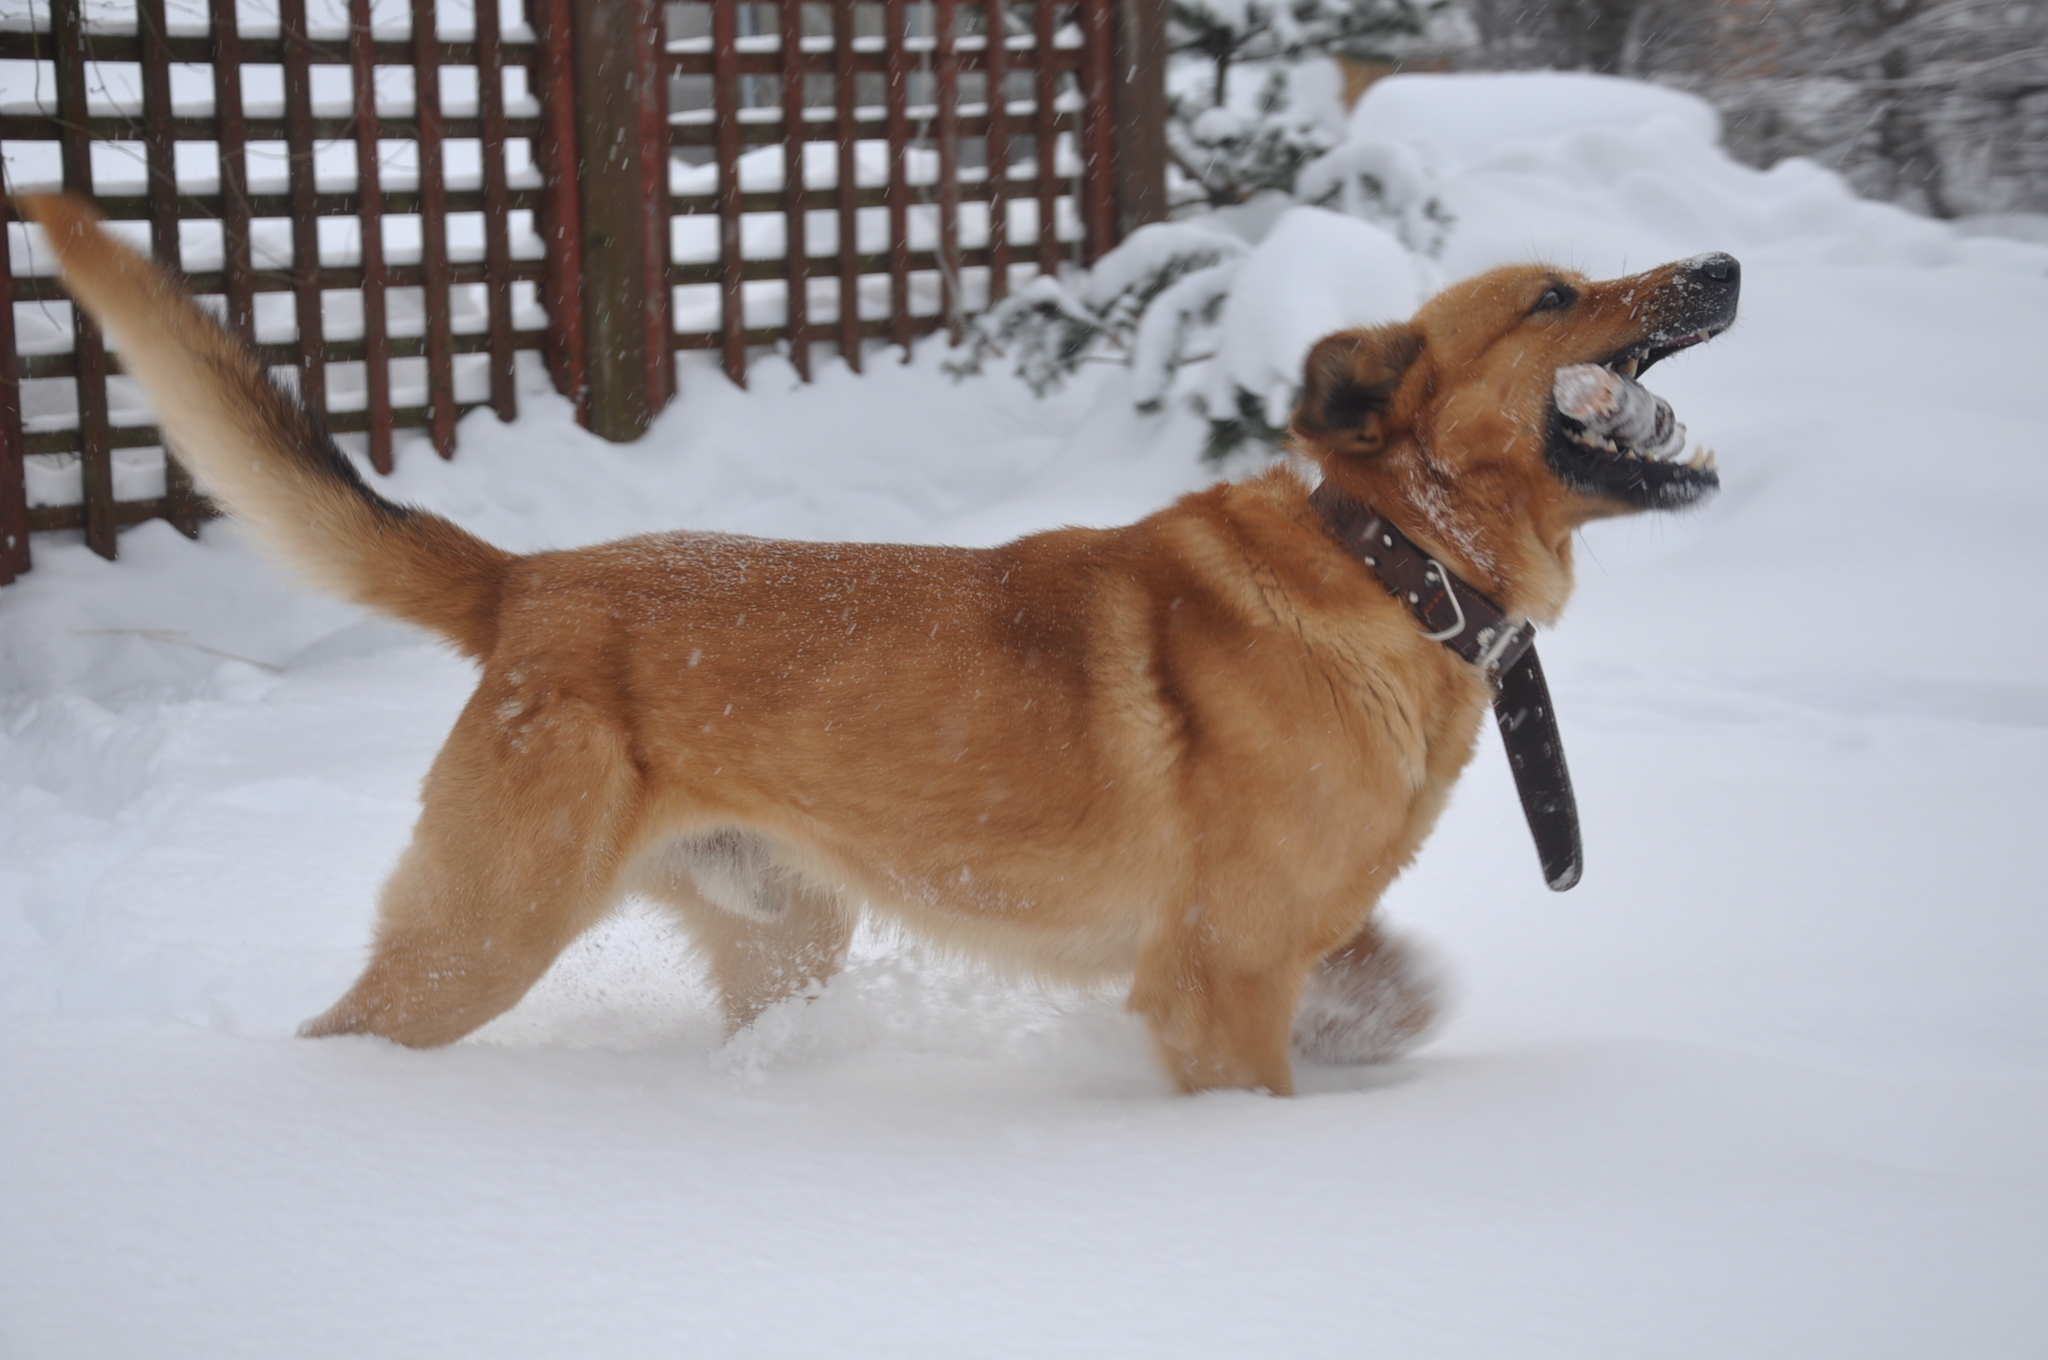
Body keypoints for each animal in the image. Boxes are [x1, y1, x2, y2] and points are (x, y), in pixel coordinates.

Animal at [24, 193, 1736, 1097]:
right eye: (1556, 296)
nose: (1720, 266)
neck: (1391, 569)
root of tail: (531, 582)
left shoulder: (1265, 947)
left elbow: (1389, 984)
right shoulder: (1223, 973)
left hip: (782, 939)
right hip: (477, 941)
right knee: (350, 1035)